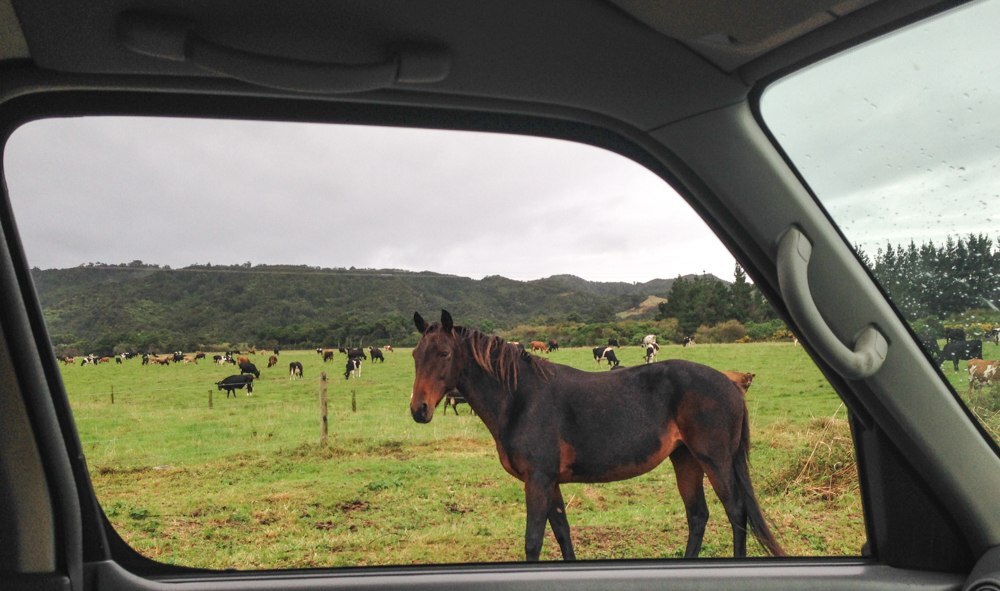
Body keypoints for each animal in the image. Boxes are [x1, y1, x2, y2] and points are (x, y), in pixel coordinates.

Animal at [410, 312, 784, 560]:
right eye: (415, 355)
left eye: (444, 353)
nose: (419, 409)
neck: (521, 398)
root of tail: (731, 385)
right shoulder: (550, 482)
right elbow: (562, 533)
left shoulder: (538, 480)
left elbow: (533, 540)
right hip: (686, 459)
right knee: (698, 516)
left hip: (714, 460)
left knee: (736, 513)